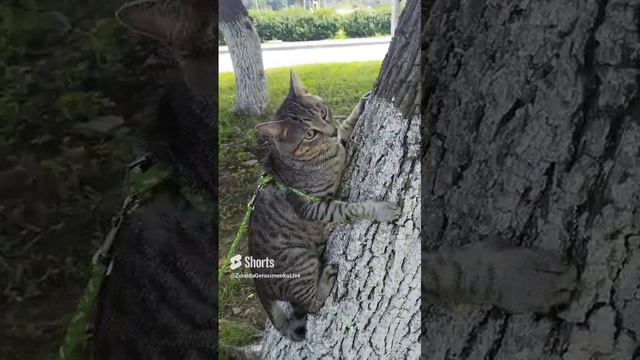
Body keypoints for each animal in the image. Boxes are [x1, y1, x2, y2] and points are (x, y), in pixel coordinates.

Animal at [249, 73, 400, 340]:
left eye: (323, 112)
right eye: (309, 134)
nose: (329, 131)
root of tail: (260, 288)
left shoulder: (339, 140)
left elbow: (346, 128)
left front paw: (359, 108)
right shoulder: (314, 206)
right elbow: (351, 208)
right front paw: (380, 210)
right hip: (300, 260)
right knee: (311, 306)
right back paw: (325, 282)